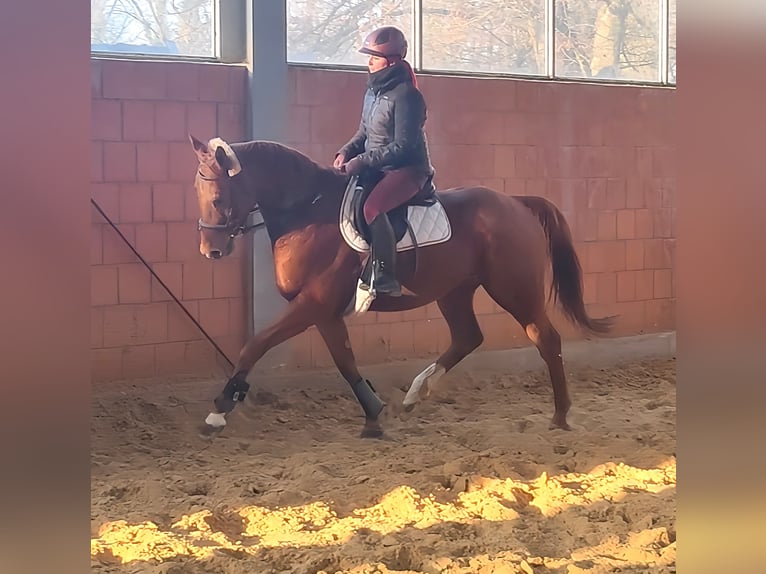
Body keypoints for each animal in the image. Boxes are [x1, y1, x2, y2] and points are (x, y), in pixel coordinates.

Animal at [190, 136, 616, 440]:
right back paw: (416, 392)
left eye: (218, 198)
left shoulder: (312, 304)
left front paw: (218, 410)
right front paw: (374, 417)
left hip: (514, 290)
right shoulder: (325, 312)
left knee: (546, 339)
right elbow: (345, 362)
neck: (308, 213)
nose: (210, 251)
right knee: (468, 336)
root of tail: (516, 202)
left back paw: (560, 415)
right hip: (454, 291)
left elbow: (255, 344)